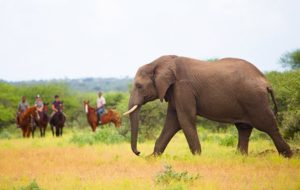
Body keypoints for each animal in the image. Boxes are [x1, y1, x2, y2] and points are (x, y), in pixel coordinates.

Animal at [123, 55, 292, 157]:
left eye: (139, 86)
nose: (139, 152)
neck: (158, 63)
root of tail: (266, 82)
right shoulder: (174, 91)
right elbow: (173, 122)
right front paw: (152, 158)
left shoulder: (183, 87)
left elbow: (184, 120)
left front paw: (197, 157)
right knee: (244, 128)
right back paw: (240, 157)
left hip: (255, 100)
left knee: (268, 126)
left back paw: (288, 156)